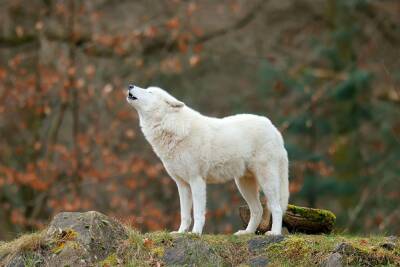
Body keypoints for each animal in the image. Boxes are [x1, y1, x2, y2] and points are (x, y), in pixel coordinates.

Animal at [126, 85, 290, 236]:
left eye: (149, 92)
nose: (130, 85)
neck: (172, 127)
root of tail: (273, 128)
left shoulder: (197, 180)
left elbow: (198, 213)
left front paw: (195, 234)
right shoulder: (182, 184)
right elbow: (184, 214)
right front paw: (180, 233)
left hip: (266, 181)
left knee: (276, 208)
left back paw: (275, 233)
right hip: (243, 184)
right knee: (258, 209)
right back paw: (246, 233)